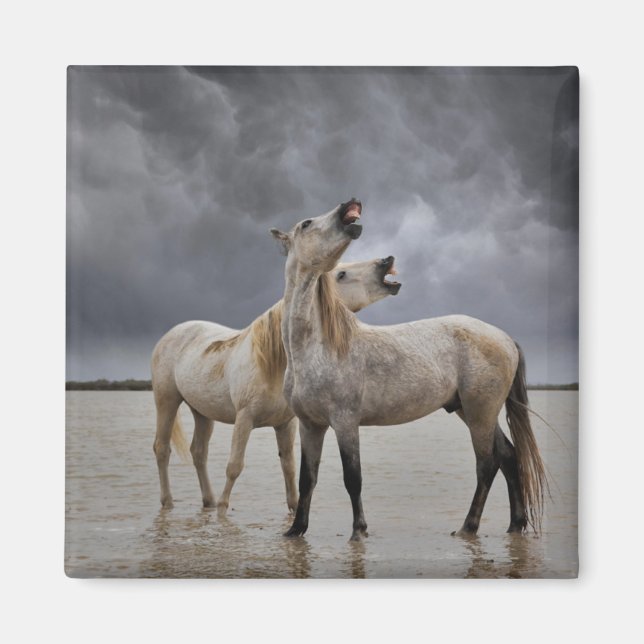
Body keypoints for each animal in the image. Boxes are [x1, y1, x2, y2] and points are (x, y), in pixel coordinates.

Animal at [151, 257, 401, 513]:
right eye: (341, 275)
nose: (385, 262)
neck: (272, 362)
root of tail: (172, 333)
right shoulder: (244, 418)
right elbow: (234, 466)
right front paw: (223, 508)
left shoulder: (285, 424)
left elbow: (288, 467)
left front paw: (293, 507)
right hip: (167, 400)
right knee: (162, 448)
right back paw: (169, 501)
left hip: (201, 411)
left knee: (199, 452)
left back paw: (208, 501)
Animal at [271, 198, 547, 541]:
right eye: (307, 224)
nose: (349, 206)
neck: (315, 348)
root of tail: (504, 337)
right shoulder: (311, 426)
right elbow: (307, 479)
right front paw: (296, 530)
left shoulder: (345, 423)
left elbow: (353, 478)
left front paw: (359, 531)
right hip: (470, 411)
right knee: (509, 456)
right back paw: (515, 524)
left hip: (480, 414)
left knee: (487, 464)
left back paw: (468, 527)